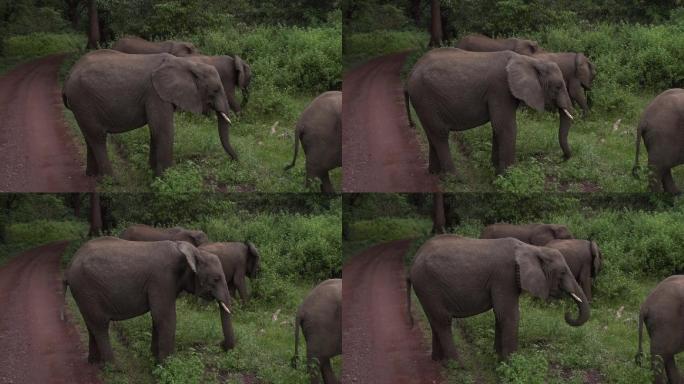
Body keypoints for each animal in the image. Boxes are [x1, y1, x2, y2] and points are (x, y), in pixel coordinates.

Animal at [62, 48, 238, 178]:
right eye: (215, 90)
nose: (235, 160)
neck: (186, 63)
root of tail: (68, 76)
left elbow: (155, 131)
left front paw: (153, 174)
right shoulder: (155, 93)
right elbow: (162, 130)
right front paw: (165, 178)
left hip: (81, 104)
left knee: (89, 136)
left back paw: (93, 177)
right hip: (82, 99)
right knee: (98, 137)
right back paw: (111, 180)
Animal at [64, 236, 235, 364]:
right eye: (216, 279)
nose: (220, 344)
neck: (193, 251)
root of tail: (70, 263)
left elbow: (157, 318)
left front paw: (154, 359)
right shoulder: (162, 279)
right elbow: (165, 317)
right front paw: (166, 365)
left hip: (84, 293)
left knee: (91, 324)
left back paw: (95, 363)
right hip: (86, 288)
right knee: (100, 325)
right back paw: (114, 367)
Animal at [406, 47, 576, 177]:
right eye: (558, 87)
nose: (562, 158)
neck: (530, 60)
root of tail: (411, 72)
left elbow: (498, 127)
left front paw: (495, 170)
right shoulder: (500, 89)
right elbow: (506, 127)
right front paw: (507, 175)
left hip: (423, 102)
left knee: (432, 135)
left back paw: (435, 174)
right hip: (425, 98)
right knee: (440, 134)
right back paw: (455, 178)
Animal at [406, 236, 588, 362]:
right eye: (563, 272)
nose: (567, 313)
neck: (532, 248)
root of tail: (413, 260)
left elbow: (500, 315)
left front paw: (497, 358)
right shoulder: (504, 276)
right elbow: (508, 315)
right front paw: (511, 362)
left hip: (426, 289)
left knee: (434, 321)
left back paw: (439, 361)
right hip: (428, 284)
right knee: (443, 321)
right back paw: (458, 364)